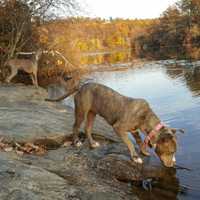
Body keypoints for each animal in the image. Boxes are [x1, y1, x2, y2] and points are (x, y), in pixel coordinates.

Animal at [46, 82, 184, 166]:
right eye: (171, 151)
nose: (173, 165)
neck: (145, 116)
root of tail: (81, 86)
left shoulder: (135, 130)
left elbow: (139, 141)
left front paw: (144, 152)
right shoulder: (119, 128)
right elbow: (130, 144)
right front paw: (136, 157)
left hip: (92, 113)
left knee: (88, 128)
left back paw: (92, 143)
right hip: (81, 111)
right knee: (75, 126)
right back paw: (77, 142)